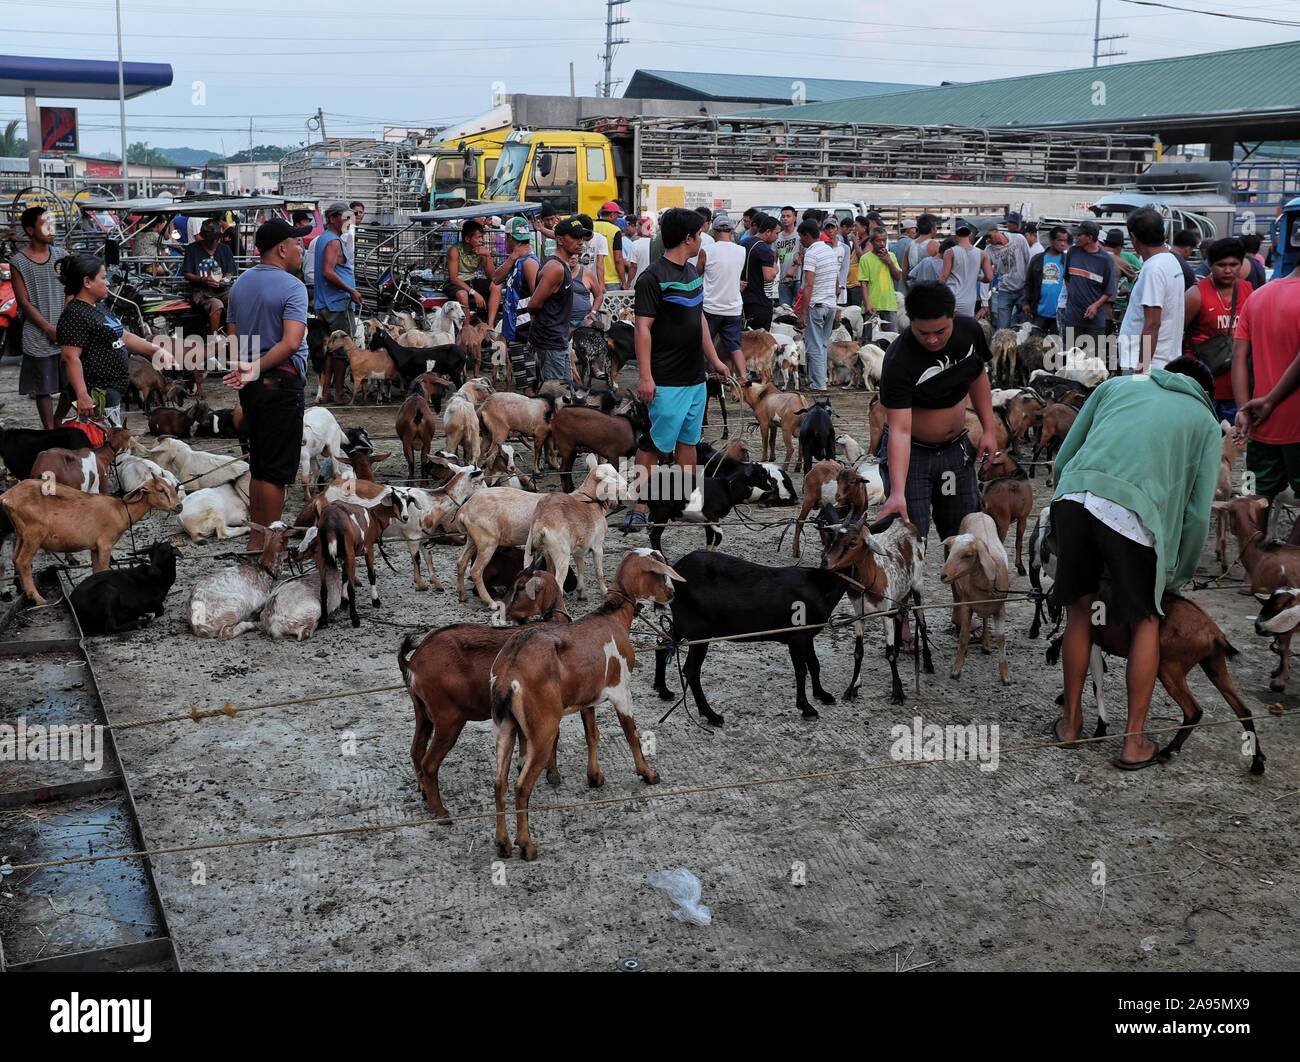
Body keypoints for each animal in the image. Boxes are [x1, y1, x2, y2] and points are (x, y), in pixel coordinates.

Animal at [395, 566, 569, 816]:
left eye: (519, 587)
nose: (505, 612)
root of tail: (413, 663)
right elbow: (554, 736)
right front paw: (553, 774)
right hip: (449, 719)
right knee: (429, 762)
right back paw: (441, 812)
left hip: (422, 712)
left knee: (416, 751)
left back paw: (425, 795)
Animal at [491, 551, 686, 857]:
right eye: (660, 570)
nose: (672, 593)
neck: (612, 617)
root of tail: (509, 671)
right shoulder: (621, 691)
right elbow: (630, 734)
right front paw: (647, 773)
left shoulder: (587, 699)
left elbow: (592, 735)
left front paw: (595, 777)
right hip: (543, 728)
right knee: (521, 786)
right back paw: (527, 845)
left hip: (506, 726)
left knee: (499, 782)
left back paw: (503, 843)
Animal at [941, 512, 1008, 681]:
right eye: (950, 551)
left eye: (968, 555)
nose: (943, 575)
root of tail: (979, 513)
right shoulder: (966, 605)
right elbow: (964, 636)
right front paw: (956, 669)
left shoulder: (1000, 608)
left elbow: (1001, 639)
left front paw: (1005, 675)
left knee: (985, 618)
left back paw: (986, 644)